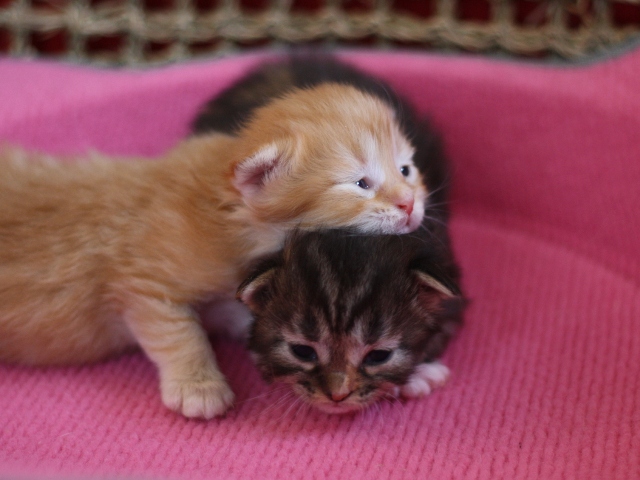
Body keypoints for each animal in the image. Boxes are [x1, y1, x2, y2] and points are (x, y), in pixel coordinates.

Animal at [1, 80, 430, 418]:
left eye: (406, 170)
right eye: (361, 184)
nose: (410, 204)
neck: (231, 216)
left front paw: (414, 371)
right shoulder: (145, 280)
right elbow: (179, 333)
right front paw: (199, 388)